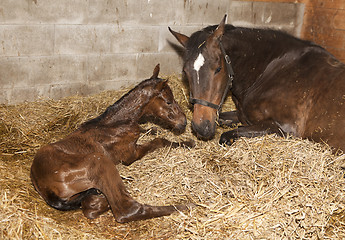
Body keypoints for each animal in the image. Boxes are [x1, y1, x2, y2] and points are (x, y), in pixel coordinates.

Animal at [30, 64, 194, 223]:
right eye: (168, 101)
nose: (184, 122)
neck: (114, 124)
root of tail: (44, 187)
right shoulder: (130, 155)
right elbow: (159, 141)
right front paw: (188, 143)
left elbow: (148, 131)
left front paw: (154, 129)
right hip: (98, 160)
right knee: (126, 210)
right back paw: (185, 206)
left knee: (91, 204)